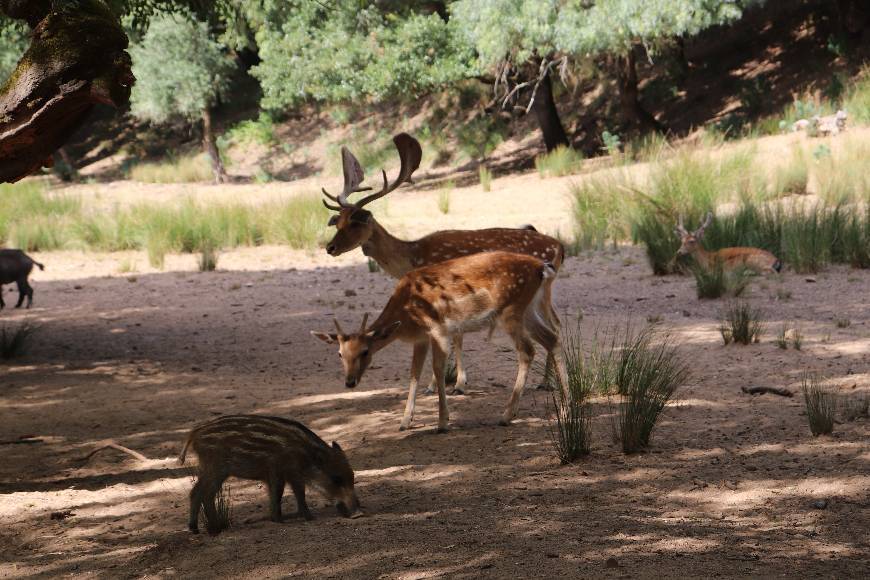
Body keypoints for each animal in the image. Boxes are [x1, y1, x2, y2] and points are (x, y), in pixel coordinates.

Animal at [310, 251, 568, 432]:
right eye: (340, 354)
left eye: (365, 351)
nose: (350, 382)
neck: (406, 314)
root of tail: (542, 268)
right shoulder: (421, 338)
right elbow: (414, 373)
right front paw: (405, 421)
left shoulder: (438, 329)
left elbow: (437, 368)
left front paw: (443, 422)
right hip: (528, 309)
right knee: (553, 338)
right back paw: (566, 407)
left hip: (511, 310)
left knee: (528, 350)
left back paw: (506, 415)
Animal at [324, 133, 568, 394]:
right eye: (338, 222)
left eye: (354, 223)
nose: (330, 248)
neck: (412, 255)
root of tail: (559, 246)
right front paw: (454, 383)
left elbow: (455, 338)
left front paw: (450, 385)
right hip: (540, 294)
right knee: (555, 324)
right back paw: (547, 381)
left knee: (554, 325)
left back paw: (546, 382)